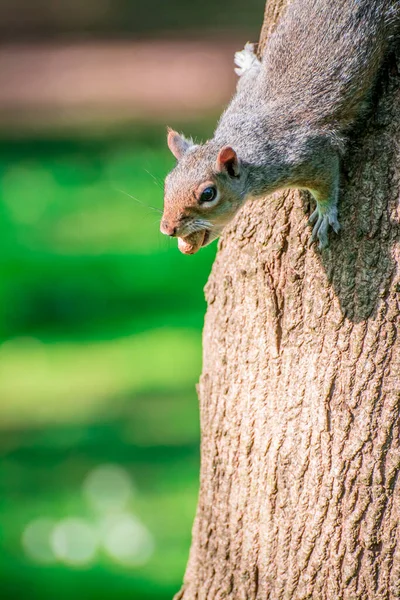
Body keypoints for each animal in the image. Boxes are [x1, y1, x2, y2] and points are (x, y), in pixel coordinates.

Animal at [161, 0, 398, 253]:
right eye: (168, 182)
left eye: (208, 194)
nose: (167, 229)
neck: (245, 136)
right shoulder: (243, 97)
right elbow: (250, 78)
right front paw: (247, 62)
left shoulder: (309, 155)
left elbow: (326, 181)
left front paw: (325, 212)